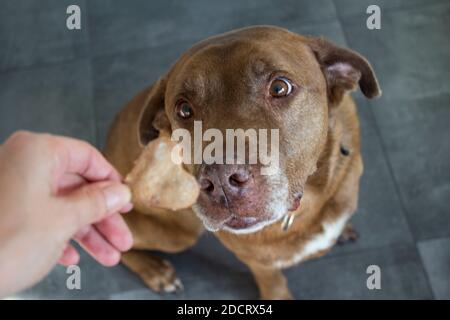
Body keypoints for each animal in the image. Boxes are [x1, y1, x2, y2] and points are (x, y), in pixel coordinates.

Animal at [104, 26, 380, 298]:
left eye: (279, 88)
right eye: (184, 110)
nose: (220, 180)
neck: (310, 201)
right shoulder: (259, 263)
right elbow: (273, 283)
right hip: (175, 233)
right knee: (116, 241)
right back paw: (155, 270)